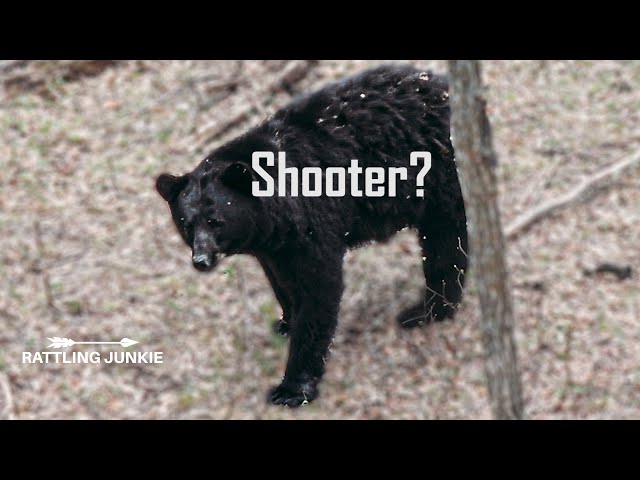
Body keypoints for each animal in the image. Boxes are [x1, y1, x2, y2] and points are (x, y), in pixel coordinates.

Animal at [156, 64, 468, 407]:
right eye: (187, 224)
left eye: (215, 221)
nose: (201, 259)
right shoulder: (273, 245)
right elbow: (281, 280)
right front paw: (285, 320)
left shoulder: (312, 220)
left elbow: (319, 288)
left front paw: (292, 387)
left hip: (439, 173)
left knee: (445, 242)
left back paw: (429, 310)